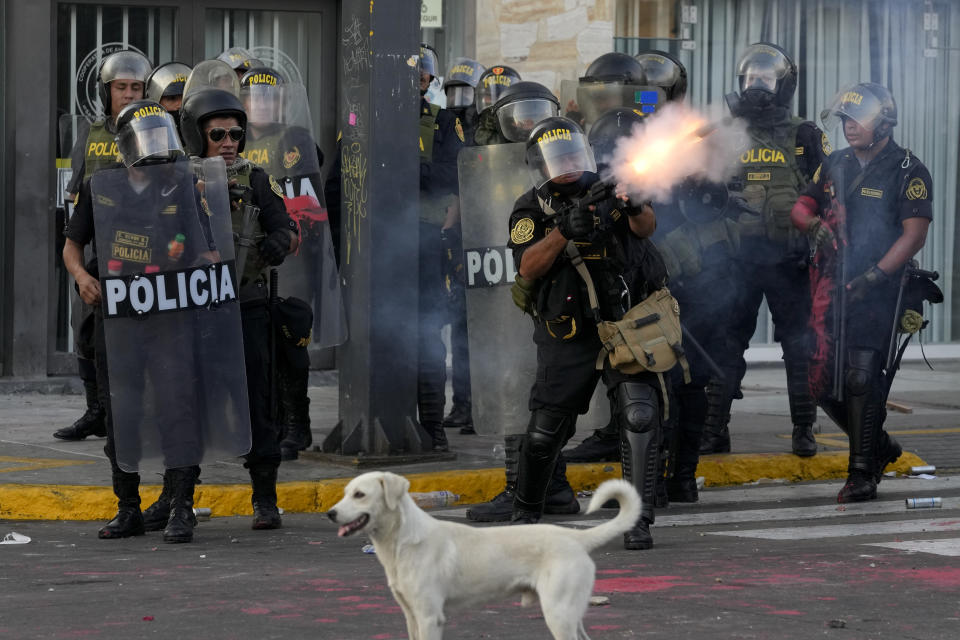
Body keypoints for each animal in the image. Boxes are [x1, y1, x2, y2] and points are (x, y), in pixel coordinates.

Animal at [326, 470, 640, 640]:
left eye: (359, 495)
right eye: (345, 493)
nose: (330, 513)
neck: (402, 541)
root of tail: (575, 537)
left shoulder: (430, 617)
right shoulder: (410, 615)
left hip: (558, 612)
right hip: (569, 613)